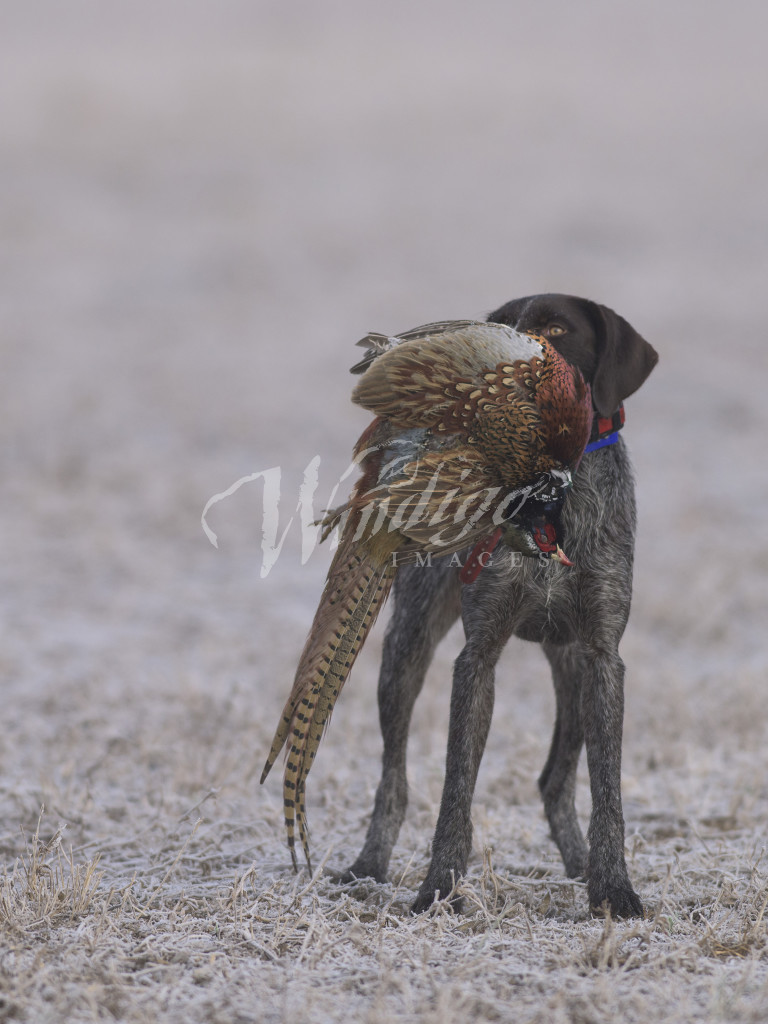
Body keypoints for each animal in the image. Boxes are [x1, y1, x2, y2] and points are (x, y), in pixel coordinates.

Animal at [341, 293, 658, 917]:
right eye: (503, 326)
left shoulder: (603, 658)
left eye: (557, 329)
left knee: (555, 780)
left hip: (572, 674)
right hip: (405, 650)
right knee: (394, 777)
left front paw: (612, 887)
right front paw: (439, 889)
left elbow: (606, 789)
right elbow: (455, 785)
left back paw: (580, 866)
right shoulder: (478, 654)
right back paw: (369, 865)